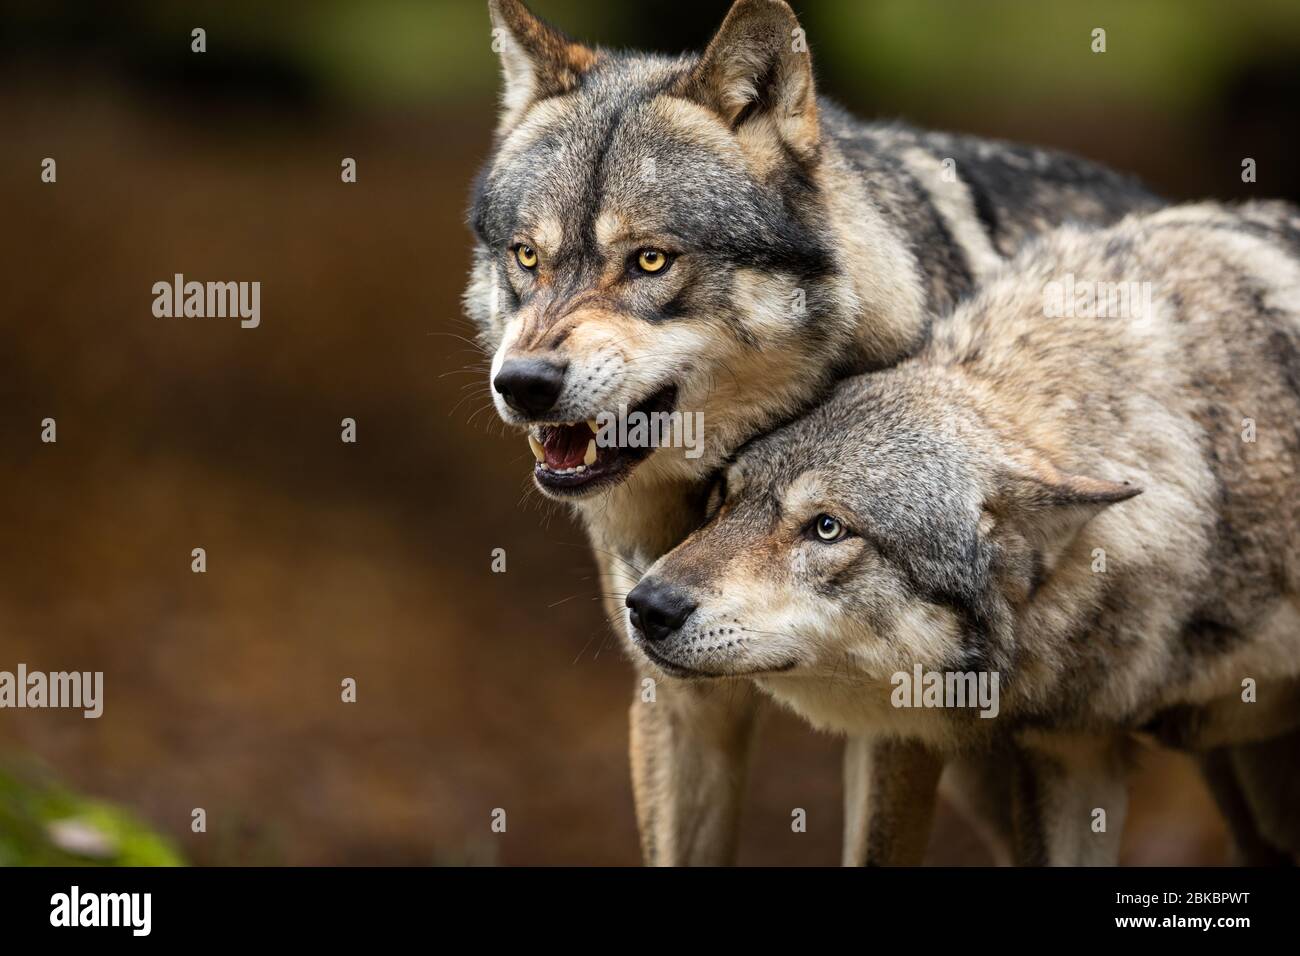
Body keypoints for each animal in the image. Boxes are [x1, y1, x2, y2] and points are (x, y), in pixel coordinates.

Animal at [465, 0, 1159, 864]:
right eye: (527, 256)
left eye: (652, 261)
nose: (523, 385)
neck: (698, 507)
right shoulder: (679, 702)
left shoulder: (902, 727)